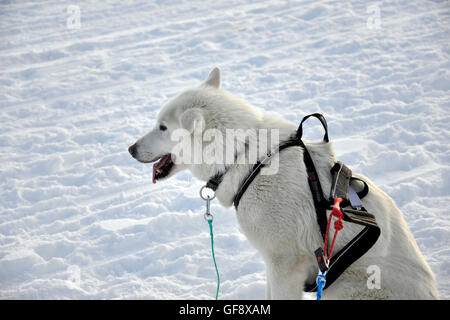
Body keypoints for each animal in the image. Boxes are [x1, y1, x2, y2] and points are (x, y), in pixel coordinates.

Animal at [129, 67, 440, 300]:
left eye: (162, 127)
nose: (130, 149)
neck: (246, 157)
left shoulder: (285, 264)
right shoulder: (273, 264)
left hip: (343, 286)